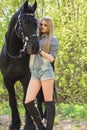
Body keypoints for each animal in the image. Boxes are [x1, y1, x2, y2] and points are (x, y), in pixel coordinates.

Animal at [0, 0, 41, 129]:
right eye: (24, 22)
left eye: (36, 23)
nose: (35, 47)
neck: (13, 55)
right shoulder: (7, 80)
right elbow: (12, 101)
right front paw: (14, 123)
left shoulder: (26, 79)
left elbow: (25, 101)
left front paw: (29, 124)